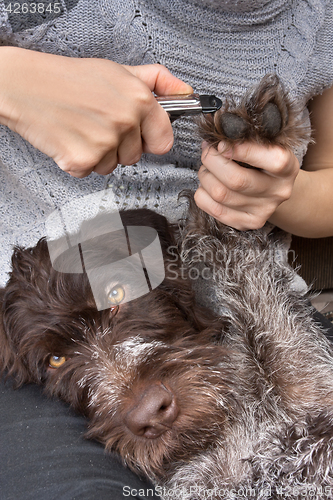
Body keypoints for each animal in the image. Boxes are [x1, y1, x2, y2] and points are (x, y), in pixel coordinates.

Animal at [1, 75, 330, 500]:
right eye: (55, 361)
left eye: (117, 296)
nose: (150, 414)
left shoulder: (306, 383)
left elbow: (238, 254)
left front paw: (250, 147)